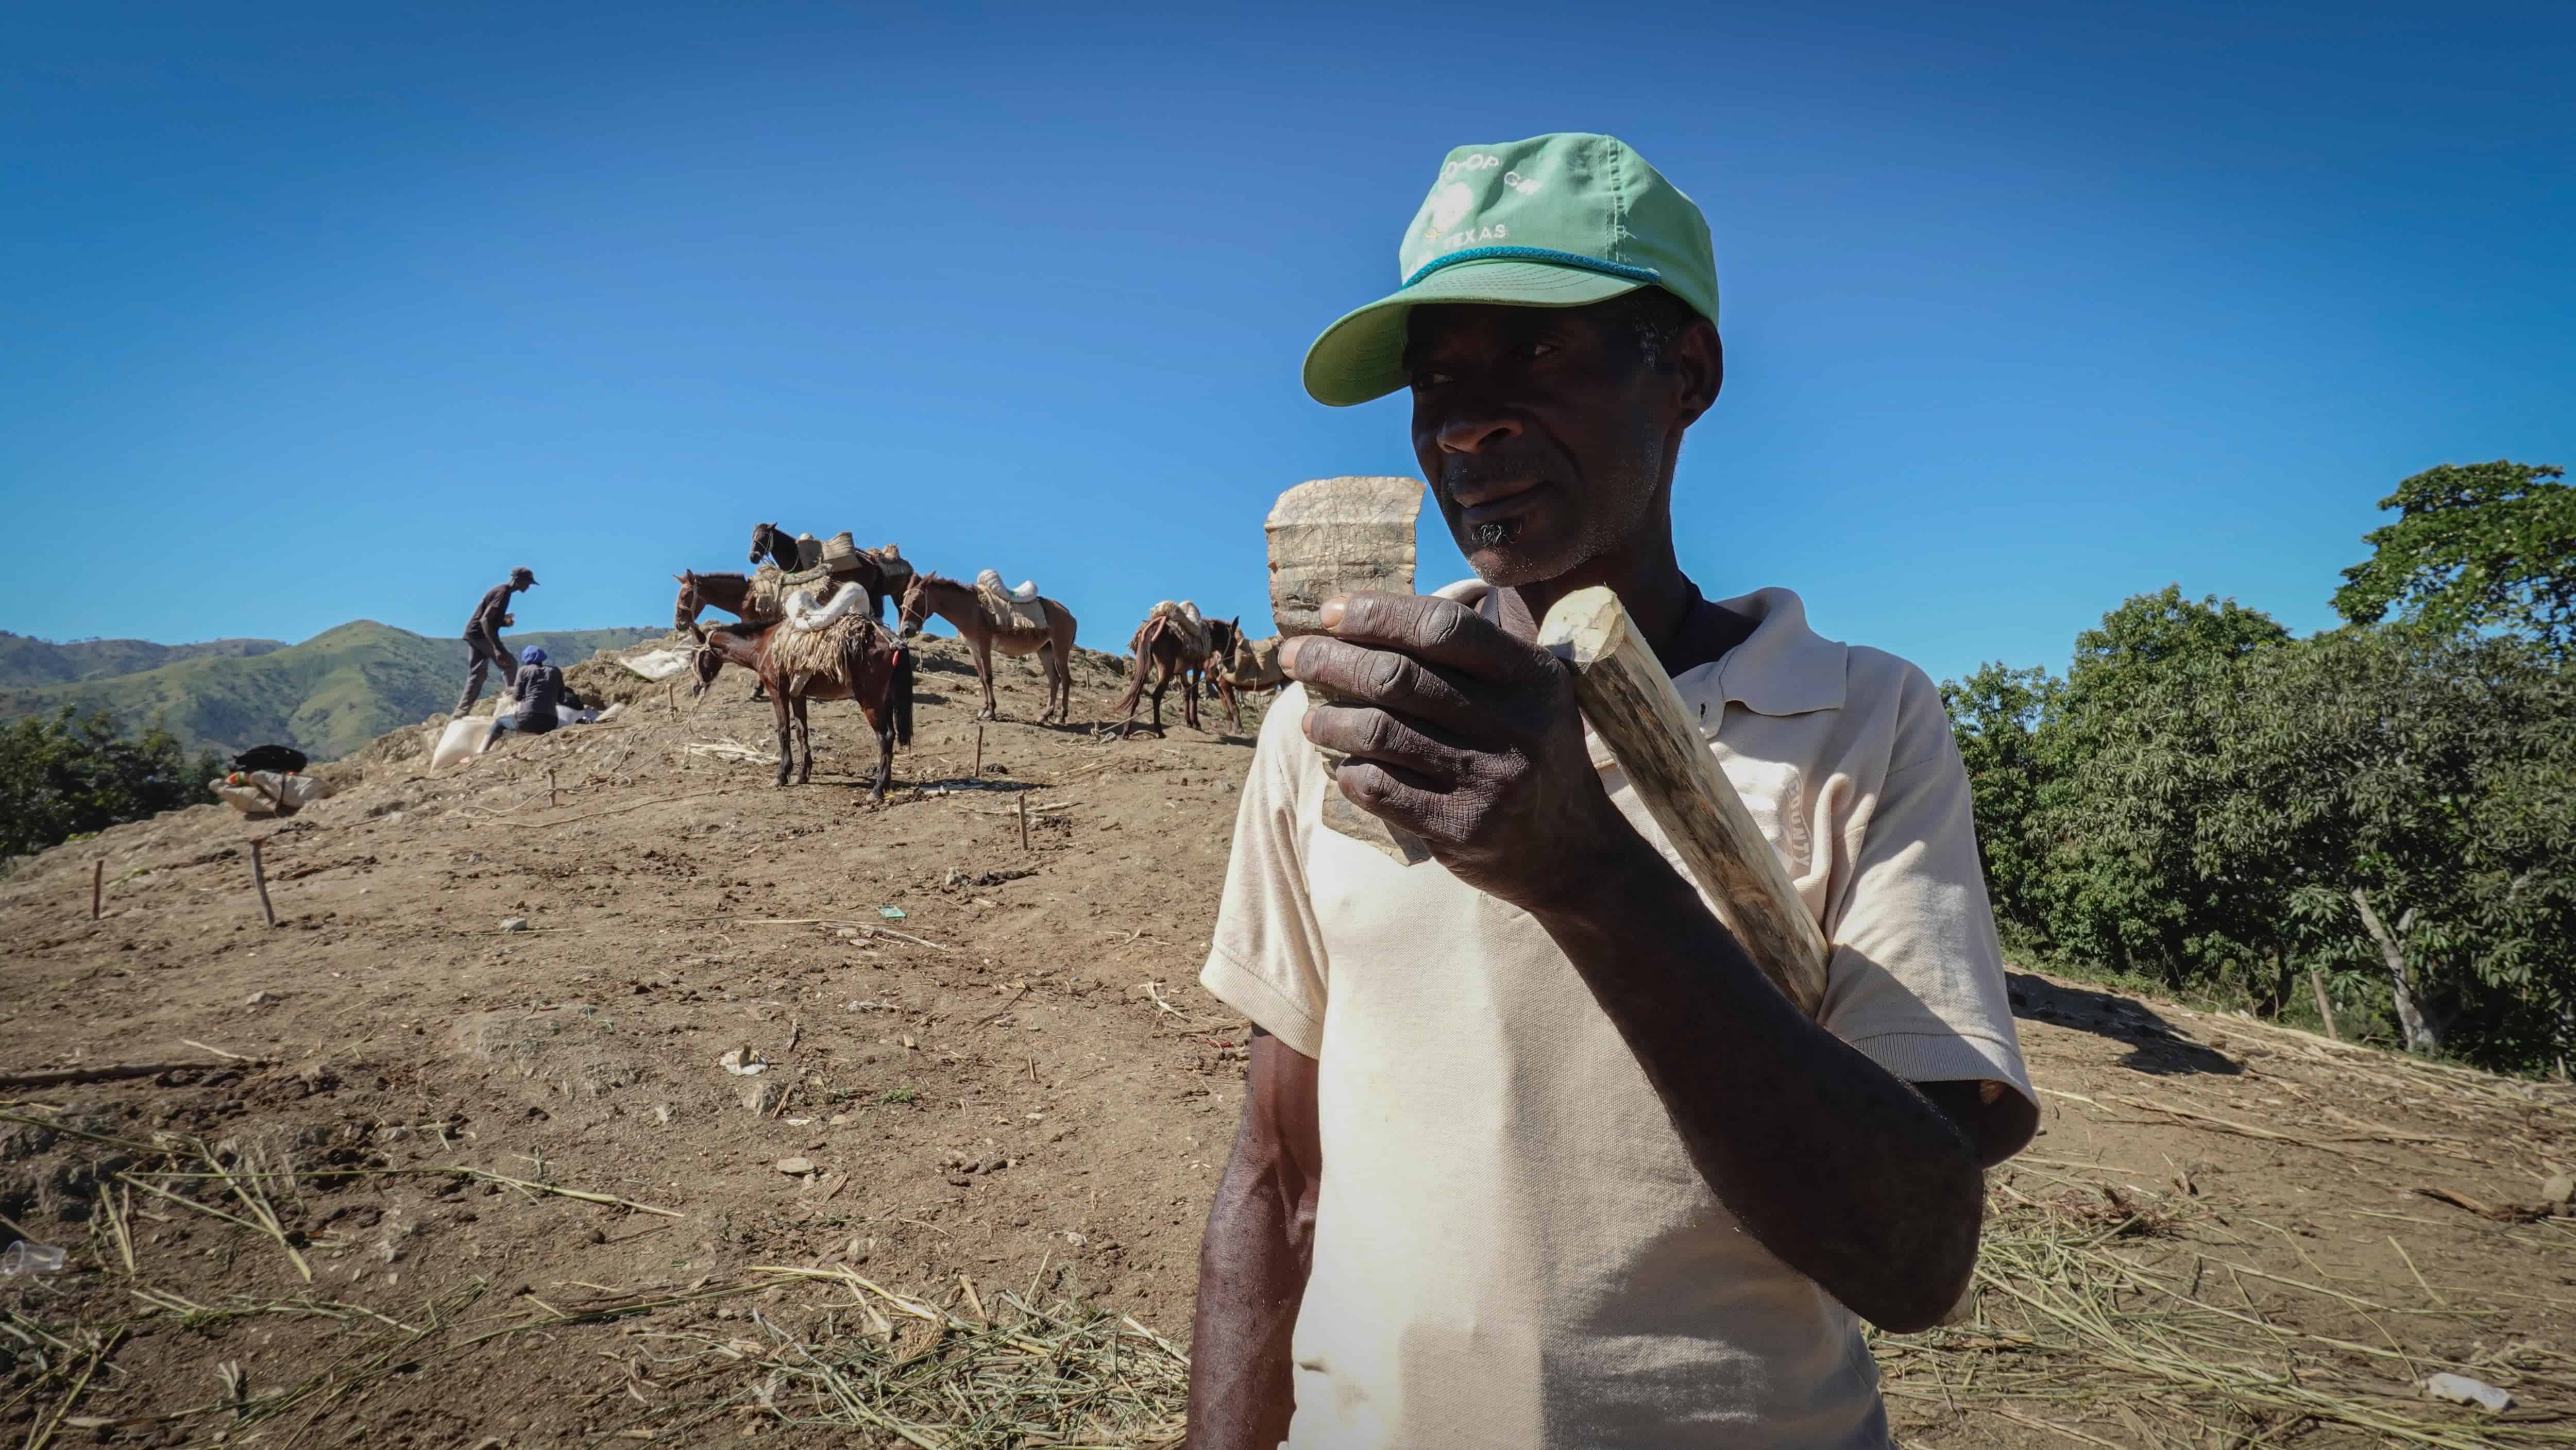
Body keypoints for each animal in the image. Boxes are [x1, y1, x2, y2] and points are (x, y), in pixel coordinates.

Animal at [696, 615, 917, 803]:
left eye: (694, 656)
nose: (695, 688)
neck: (764, 646)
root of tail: (894, 642)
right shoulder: (798, 695)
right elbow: (802, 732)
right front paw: (802, 774)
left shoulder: (778, 693)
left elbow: (783, 731)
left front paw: (781, 775)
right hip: (885, 701)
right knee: (891, 735)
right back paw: (886, 785)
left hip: (870, 702)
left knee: (884, 737)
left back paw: (877, 790)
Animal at [896, 569, 1077, 721]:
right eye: (903, 601)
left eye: (917, 601)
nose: (905, 630)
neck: (971, 611)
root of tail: (1069, 614)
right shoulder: (973, 649)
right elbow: (982, 678)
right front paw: (984, 709)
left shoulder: (984, 646)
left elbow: (989, 677)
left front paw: (991, 711)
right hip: (1045, 651)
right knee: (1055, 680)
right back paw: (1045, 715)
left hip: (1060, 649)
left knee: (1066, 679)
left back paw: (1061, 716)